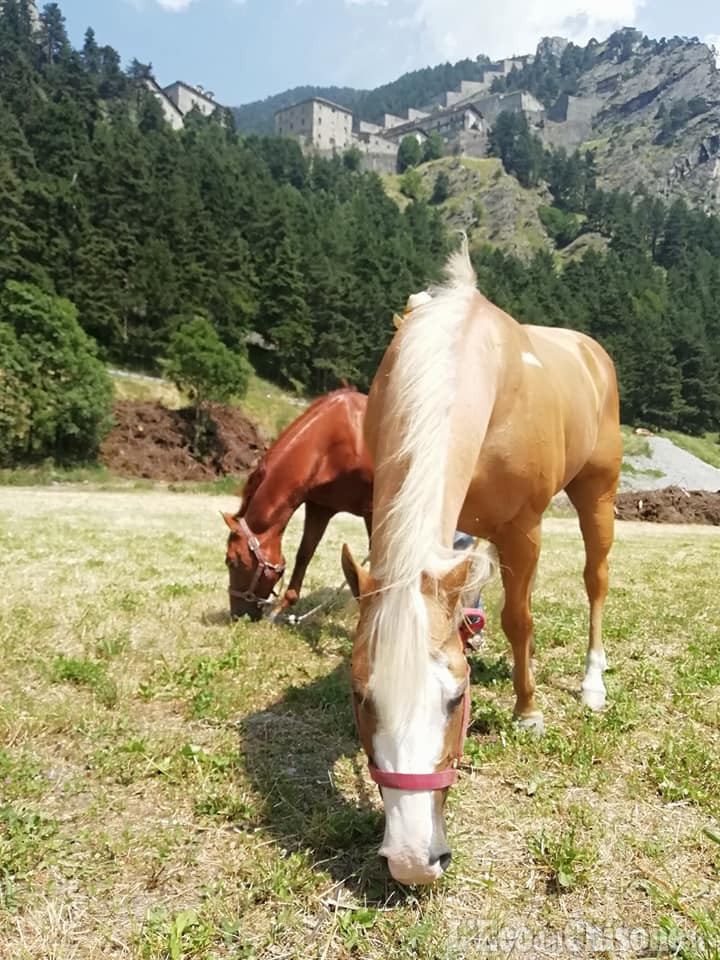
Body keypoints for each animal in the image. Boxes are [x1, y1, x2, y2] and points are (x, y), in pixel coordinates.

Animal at [224, 390, 372, 624]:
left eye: (231, 561)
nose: (238, 615)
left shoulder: (372, 511)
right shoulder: (320, 508)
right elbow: (304, 554)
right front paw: (279, 609)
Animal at [340, 242, 620, 884]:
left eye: (456, 698)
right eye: (361, 697)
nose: (414, 860)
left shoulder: (524, 531)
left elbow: (521, 620)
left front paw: (527, 711)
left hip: (598, 492)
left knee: (595, 581)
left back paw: (592, 683)